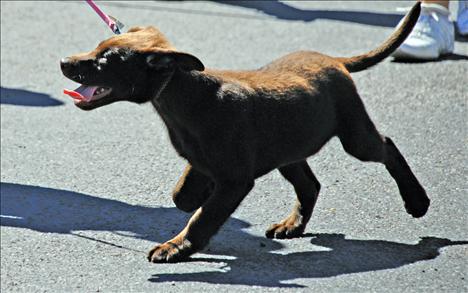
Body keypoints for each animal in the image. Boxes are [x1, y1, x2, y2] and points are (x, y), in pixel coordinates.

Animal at [61, 2, 428, 262]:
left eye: (105, 60)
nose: (64, 62)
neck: (184, 98)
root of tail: (334, 60)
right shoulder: (201, 161)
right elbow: (182, 197)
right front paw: (197, 200)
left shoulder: (236, 179)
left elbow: (203, 217)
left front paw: (176, 248)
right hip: (288, 149)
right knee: (310, 184)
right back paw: (292, 226)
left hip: (354, 136)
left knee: (387, 146)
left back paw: (417, 201)